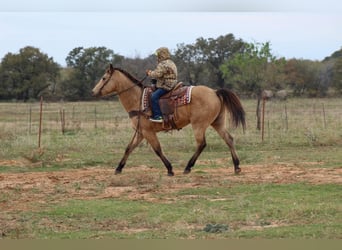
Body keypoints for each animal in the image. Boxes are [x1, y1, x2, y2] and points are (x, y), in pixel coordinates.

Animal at [91, 64, 246, 176]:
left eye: (104, 78)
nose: (93, 91)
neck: (138, 100)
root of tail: (215, 92)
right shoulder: (140, 132)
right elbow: (129, 148)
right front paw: (118, 168)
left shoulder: (148, 132)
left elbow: (157, 149)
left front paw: (170, 169)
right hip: (217, 123)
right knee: (229, 139)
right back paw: (236, 166)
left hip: (199, 125)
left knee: (202, 144)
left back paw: (188, 167)